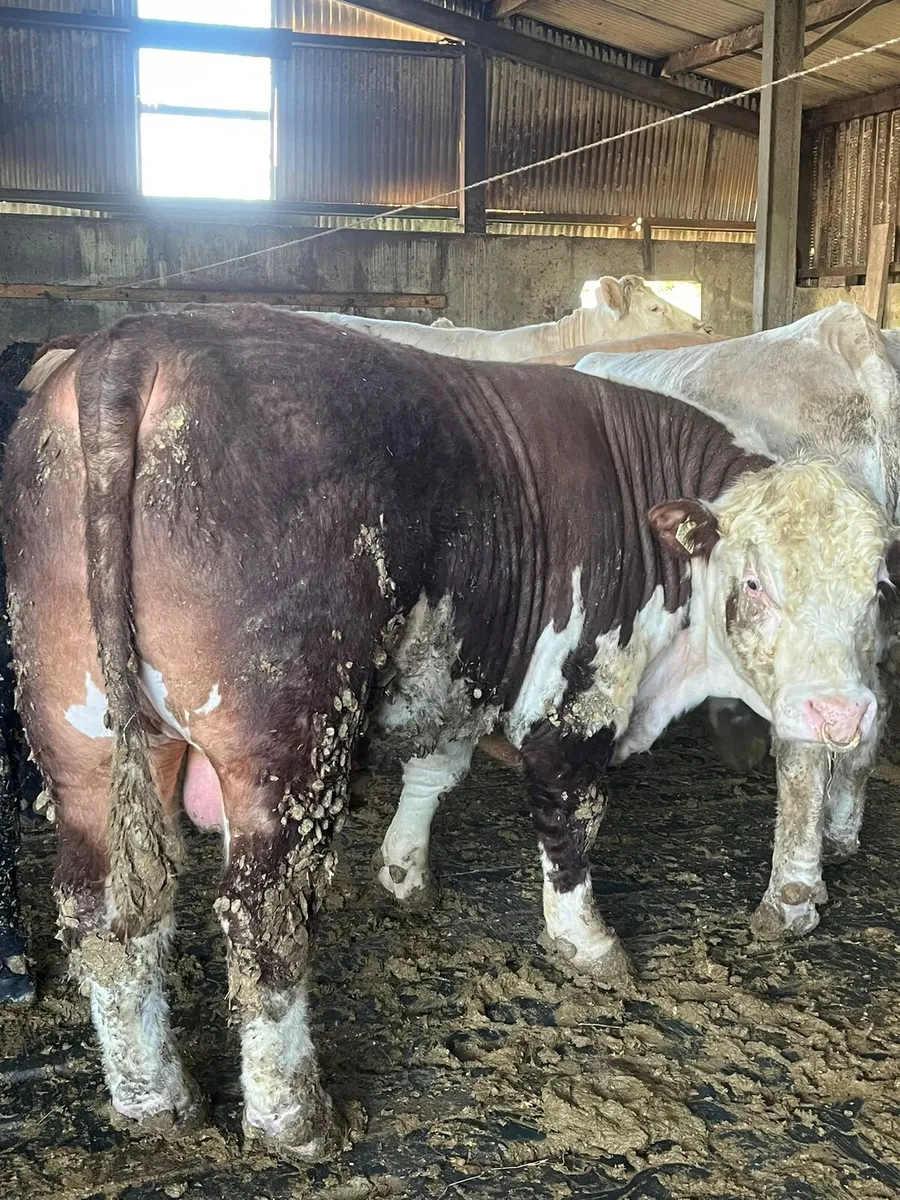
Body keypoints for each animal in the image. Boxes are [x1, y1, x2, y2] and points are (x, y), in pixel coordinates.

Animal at [3, 305, 894, 1159]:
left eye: (877, 587)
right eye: (756, 582)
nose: (841, 713)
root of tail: (136, 344)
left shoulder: (464, 665)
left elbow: (436, 768)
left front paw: (405, 873)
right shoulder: (578, 693)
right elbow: (570, 818)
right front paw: (586, 941)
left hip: (83, 735)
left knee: (106, 908)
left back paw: (154, 1100)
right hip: (288, 745)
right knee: (264, 914)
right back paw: (295, 1119)